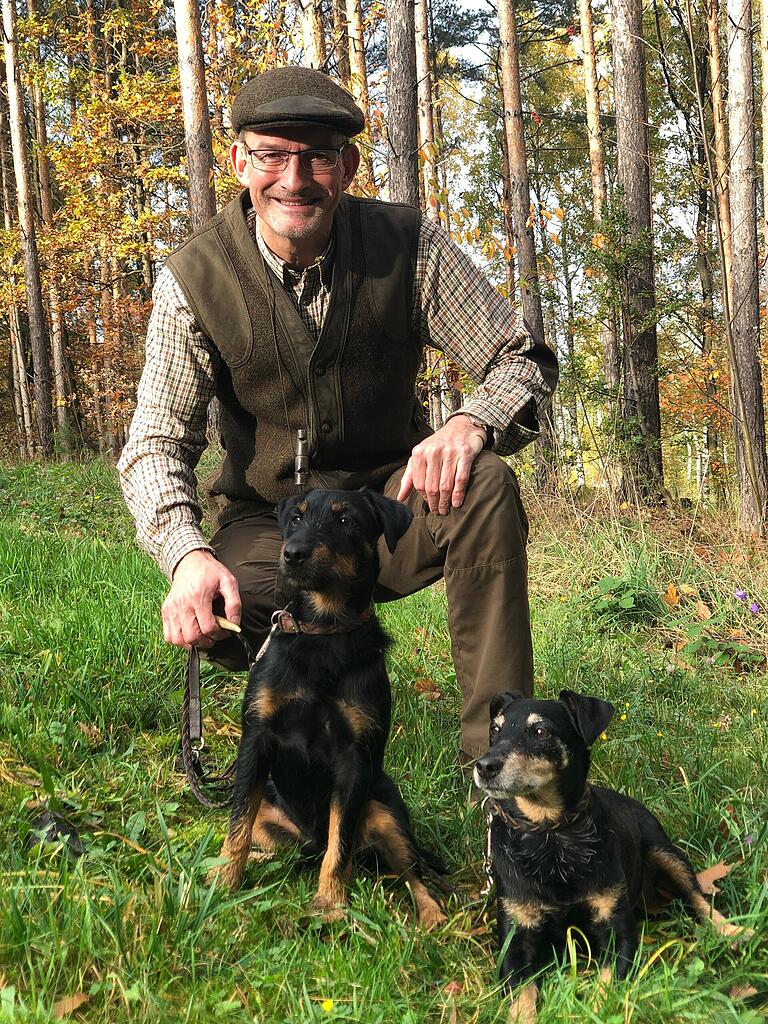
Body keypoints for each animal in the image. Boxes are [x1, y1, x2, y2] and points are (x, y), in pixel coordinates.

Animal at [207, 487, 448, 929]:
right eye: (296, 518)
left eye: (345, 520)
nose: (292, 553)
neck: (323, 631)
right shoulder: (257, 739)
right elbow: (237, 824)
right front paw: (224, 880)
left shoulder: (354, 760)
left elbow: (341, 844)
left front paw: (331, 904)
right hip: (275, 820)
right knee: (284, 848)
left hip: (386, 812)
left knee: (410, 871)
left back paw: (431, 914)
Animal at [479, 692, 749, 1019]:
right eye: (495, 729)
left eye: (541, 731)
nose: (484, 766)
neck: (550, 833)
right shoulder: (515, 939)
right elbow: (522, 997)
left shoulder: (617, 931)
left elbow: (606, 984)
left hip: (666, 853)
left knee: (697, 897)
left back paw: (731, 931)